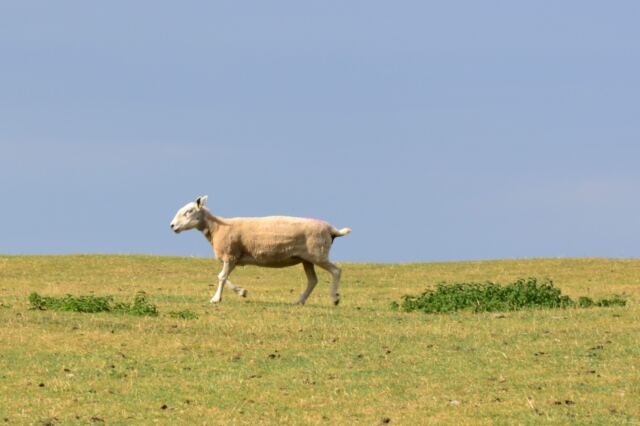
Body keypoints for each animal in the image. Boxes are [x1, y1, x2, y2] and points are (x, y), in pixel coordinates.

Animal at [170, 196, 351, 305]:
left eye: (189, 211)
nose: (172, 226)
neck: (216, 227)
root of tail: (331, 229)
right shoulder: (234, 257)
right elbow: (224, 277)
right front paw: (242, 292)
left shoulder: (230, 254)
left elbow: (221, 277)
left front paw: (215, 299)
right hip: (307, 258)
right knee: (313, 280)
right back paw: (299, 301)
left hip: (318, 253)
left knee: (336, 270)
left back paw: (334, 298)